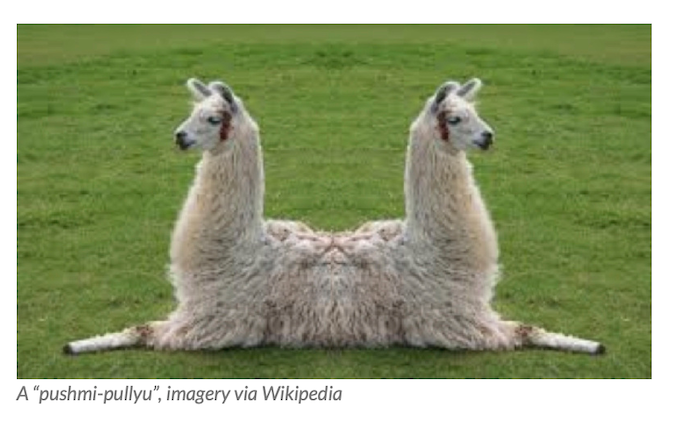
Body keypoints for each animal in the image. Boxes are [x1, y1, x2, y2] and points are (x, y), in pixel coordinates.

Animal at [64, 77, 604, 355]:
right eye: (455, 118)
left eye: (212, 118)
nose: (179, 137)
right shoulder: (209, 319)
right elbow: (144, 330)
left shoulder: (459, 320)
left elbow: (523, 330)